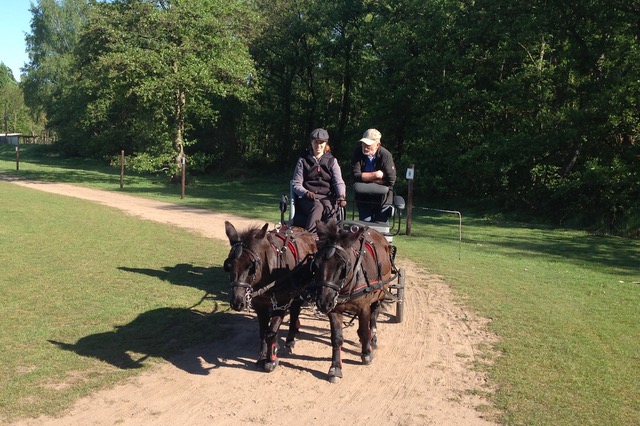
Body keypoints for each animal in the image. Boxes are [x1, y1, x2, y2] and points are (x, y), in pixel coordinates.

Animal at [224, 221, 316, 372]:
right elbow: (263, 332)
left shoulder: (282, 303)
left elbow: (271, 331)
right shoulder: (260, 305)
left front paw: (271, 359)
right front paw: (263, 355)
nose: (237, 302)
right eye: (228, 265)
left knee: (295, 311)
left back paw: (290, 339)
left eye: (251, 266)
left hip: (299, 291)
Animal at [312, 220, 396, 382]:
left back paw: (372, 338)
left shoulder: (364, 308)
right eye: (316, 264)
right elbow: (337, 338)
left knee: (374, 316)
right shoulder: (335, 310)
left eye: (342, 266)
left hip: (381, 293)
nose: (323, 302)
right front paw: (335, 367)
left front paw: (366, 353)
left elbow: (364, 330)